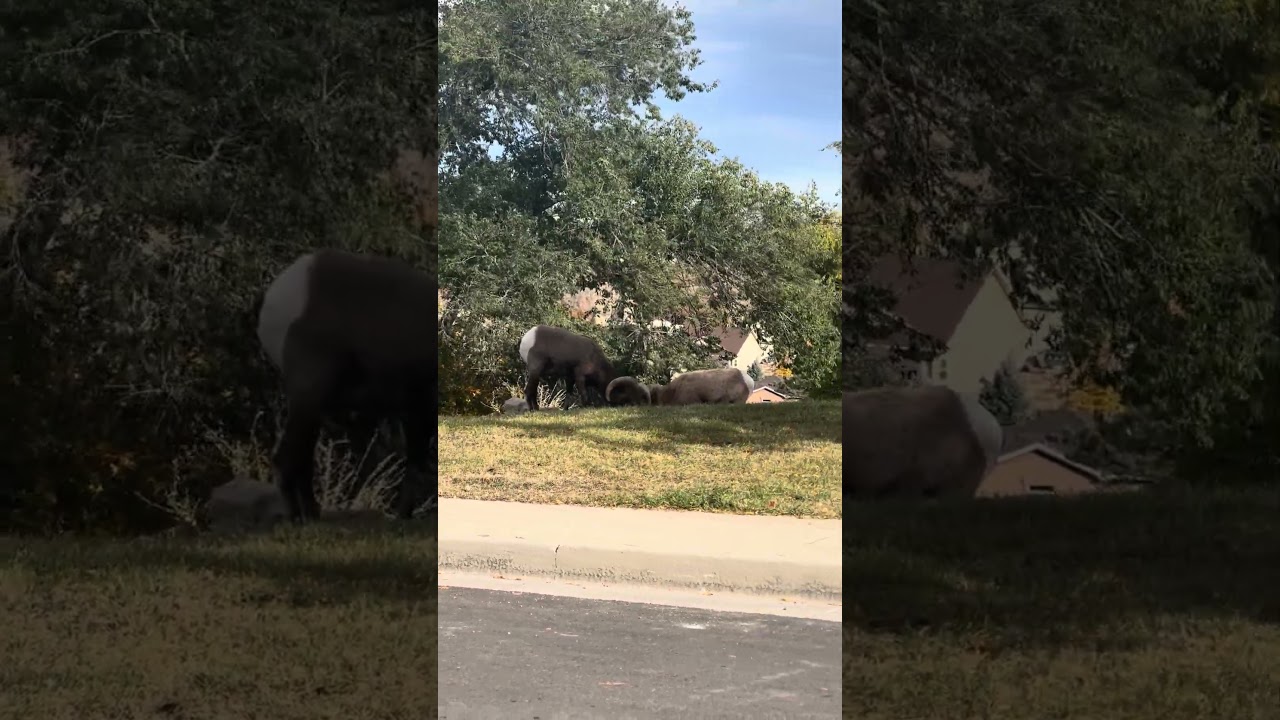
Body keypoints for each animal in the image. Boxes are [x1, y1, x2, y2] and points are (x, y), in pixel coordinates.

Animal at [255, 248, 438, 523]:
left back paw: (311, 515)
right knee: (287, 457)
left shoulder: (416, 410)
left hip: (312, 406)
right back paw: (300, 518)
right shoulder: (419, 409)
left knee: (300, 457)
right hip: (309, 394)